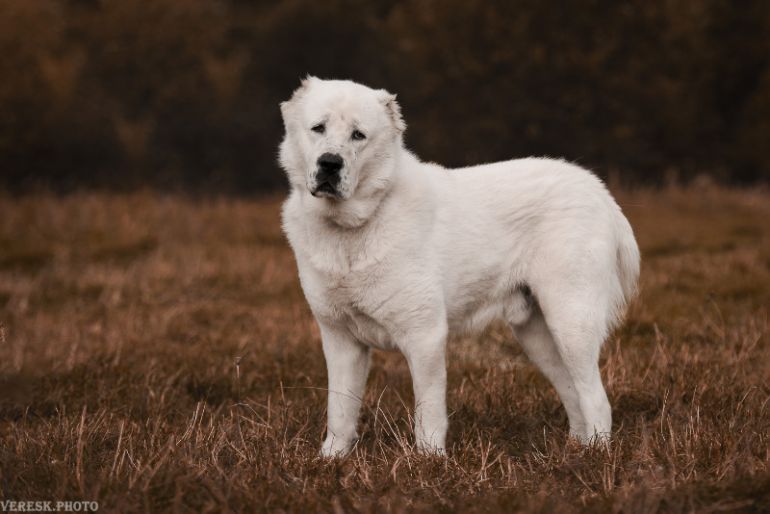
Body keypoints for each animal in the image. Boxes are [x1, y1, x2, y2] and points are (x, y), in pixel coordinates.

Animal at [276, 77, 636, 456]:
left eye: (358, 135)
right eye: (318, 128)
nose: (330, 163)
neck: (350, 229)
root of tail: (600, 192)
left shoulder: (425, 335)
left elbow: (428, 410)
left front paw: (429, 460)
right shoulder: (340, 340)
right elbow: (340, 409)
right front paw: (331, 459)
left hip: (572, 323)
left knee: (595, 397)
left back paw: (595, 456)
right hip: (537, 334)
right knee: (572, 390)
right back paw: (574, 451)